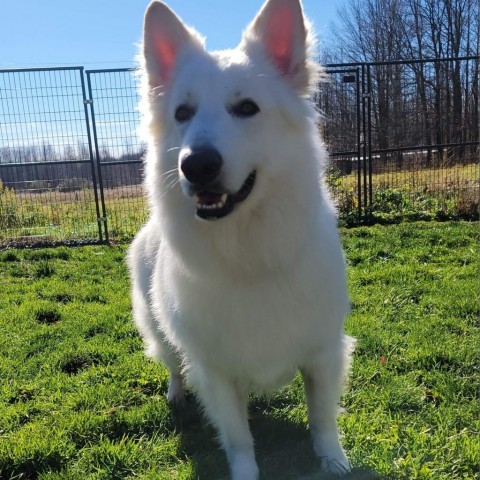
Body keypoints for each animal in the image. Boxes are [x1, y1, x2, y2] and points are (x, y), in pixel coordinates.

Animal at [126, 1, 352, 478]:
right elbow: (239, 439)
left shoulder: (324, 354)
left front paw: (334, 462)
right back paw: (175, 393)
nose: (196, 165)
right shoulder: (215, 373)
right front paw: (246, 471)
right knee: (172, 364)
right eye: (182, 113)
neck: (248, 253)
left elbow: (322, 418)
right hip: (161, 333)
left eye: (247, 108)